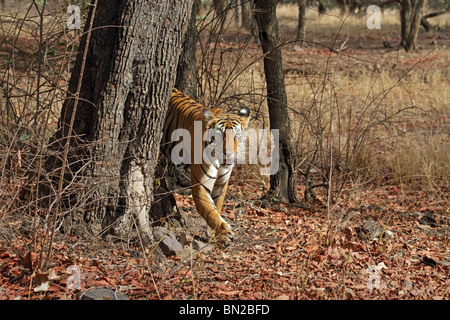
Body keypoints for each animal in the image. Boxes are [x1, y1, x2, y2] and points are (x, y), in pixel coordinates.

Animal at [163, 89, 251, 244]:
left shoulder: (221, 184)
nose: (228, 153)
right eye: (220, 135)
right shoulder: (201, 184)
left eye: (236, 136)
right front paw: (224, 232)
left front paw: (213, 233)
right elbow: (209, 211)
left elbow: (217, 207)